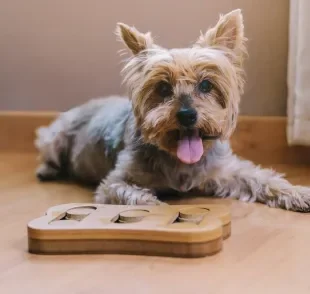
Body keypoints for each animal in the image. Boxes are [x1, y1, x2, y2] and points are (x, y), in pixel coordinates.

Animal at [34, 9, 310, 211]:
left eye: (206, 85)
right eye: (163, 88)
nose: (187, 115)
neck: (179, 159)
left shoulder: (226, 170)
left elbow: (262, 177)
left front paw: (298, 193)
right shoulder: (113, 182)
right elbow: (123, 190)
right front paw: (152, 203)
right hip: (54, 136)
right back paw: (47, 170)